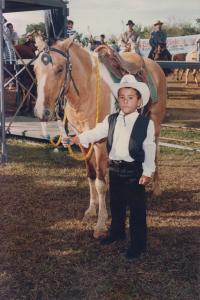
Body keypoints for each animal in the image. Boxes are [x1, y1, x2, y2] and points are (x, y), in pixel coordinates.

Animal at [33, 38, 166, 239]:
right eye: (34, 69)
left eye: (60, 69)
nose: (42, 112)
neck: (87, 91)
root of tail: (155, 65)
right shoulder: (83, 140)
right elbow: (91, 176)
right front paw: (91, 211)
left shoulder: (100, 143)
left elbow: (101, 183)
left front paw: (101, 224)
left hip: (155, 125)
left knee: (155, 153)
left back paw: (156, 189)